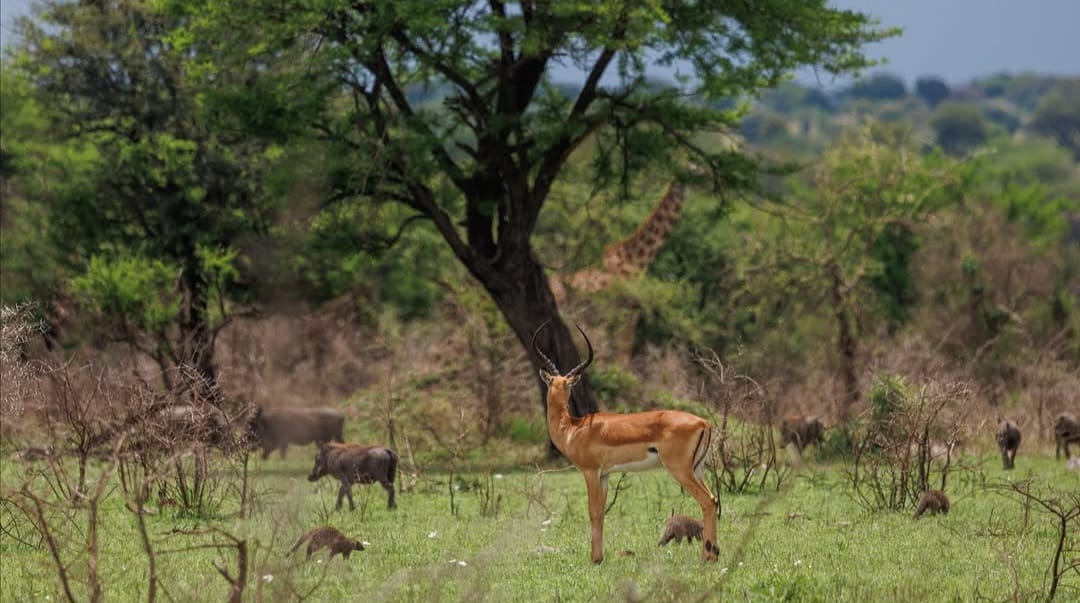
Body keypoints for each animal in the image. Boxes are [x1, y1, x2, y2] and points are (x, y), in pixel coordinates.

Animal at [533, 322, 719, 563]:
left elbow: (593, 511)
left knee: (707, 501)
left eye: (566, 385)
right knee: (714, 500)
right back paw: (713, 554)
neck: (573, 428)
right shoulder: (604, 475)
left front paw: (595, 559)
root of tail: (704, 422)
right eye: (556, 384)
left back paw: (707, 558)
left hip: (680, 469)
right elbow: (601, 512)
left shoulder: (590, 472)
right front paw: (600, 556)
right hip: (698, 469)